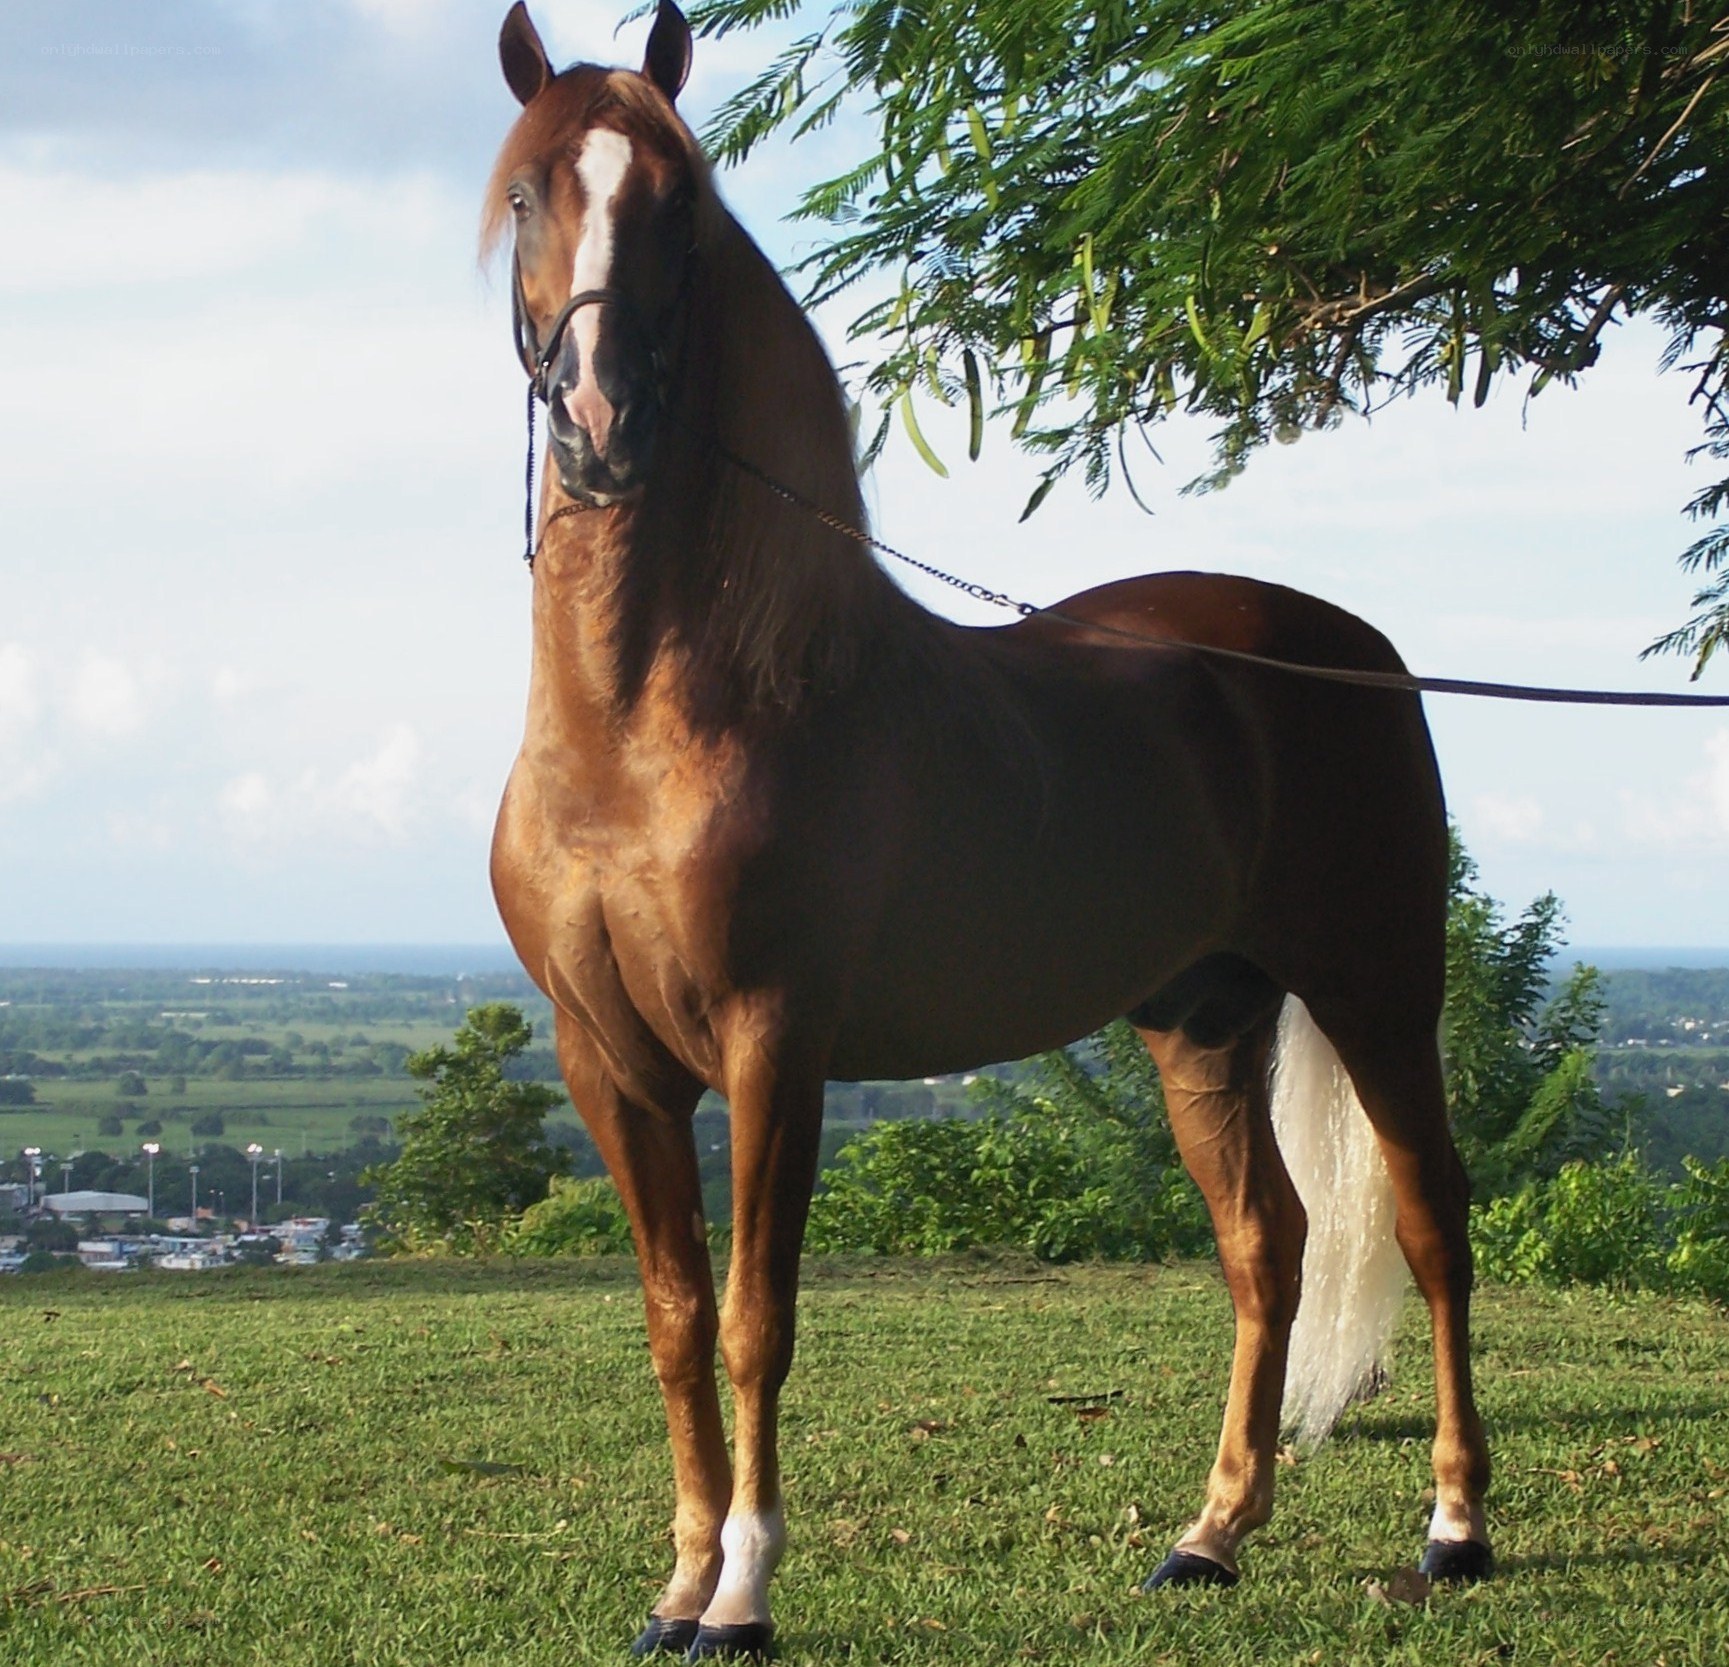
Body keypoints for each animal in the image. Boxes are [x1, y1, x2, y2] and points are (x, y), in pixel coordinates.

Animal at [483, 3, 1491, 1656]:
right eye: (527, 193)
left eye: (680, 206)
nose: (603, 423)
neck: (653, 721)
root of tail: (1348, 648)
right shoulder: (608, 1059)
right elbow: (675, 1315)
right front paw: (679, 1582)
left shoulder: (773, 1043)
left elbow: (757, 1315)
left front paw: (743, 1591)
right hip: (1202, 1020)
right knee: (1265, 1246)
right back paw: (1209, 1535)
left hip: (1377, 992)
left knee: (1428, 1222)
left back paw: (1457, 1525)